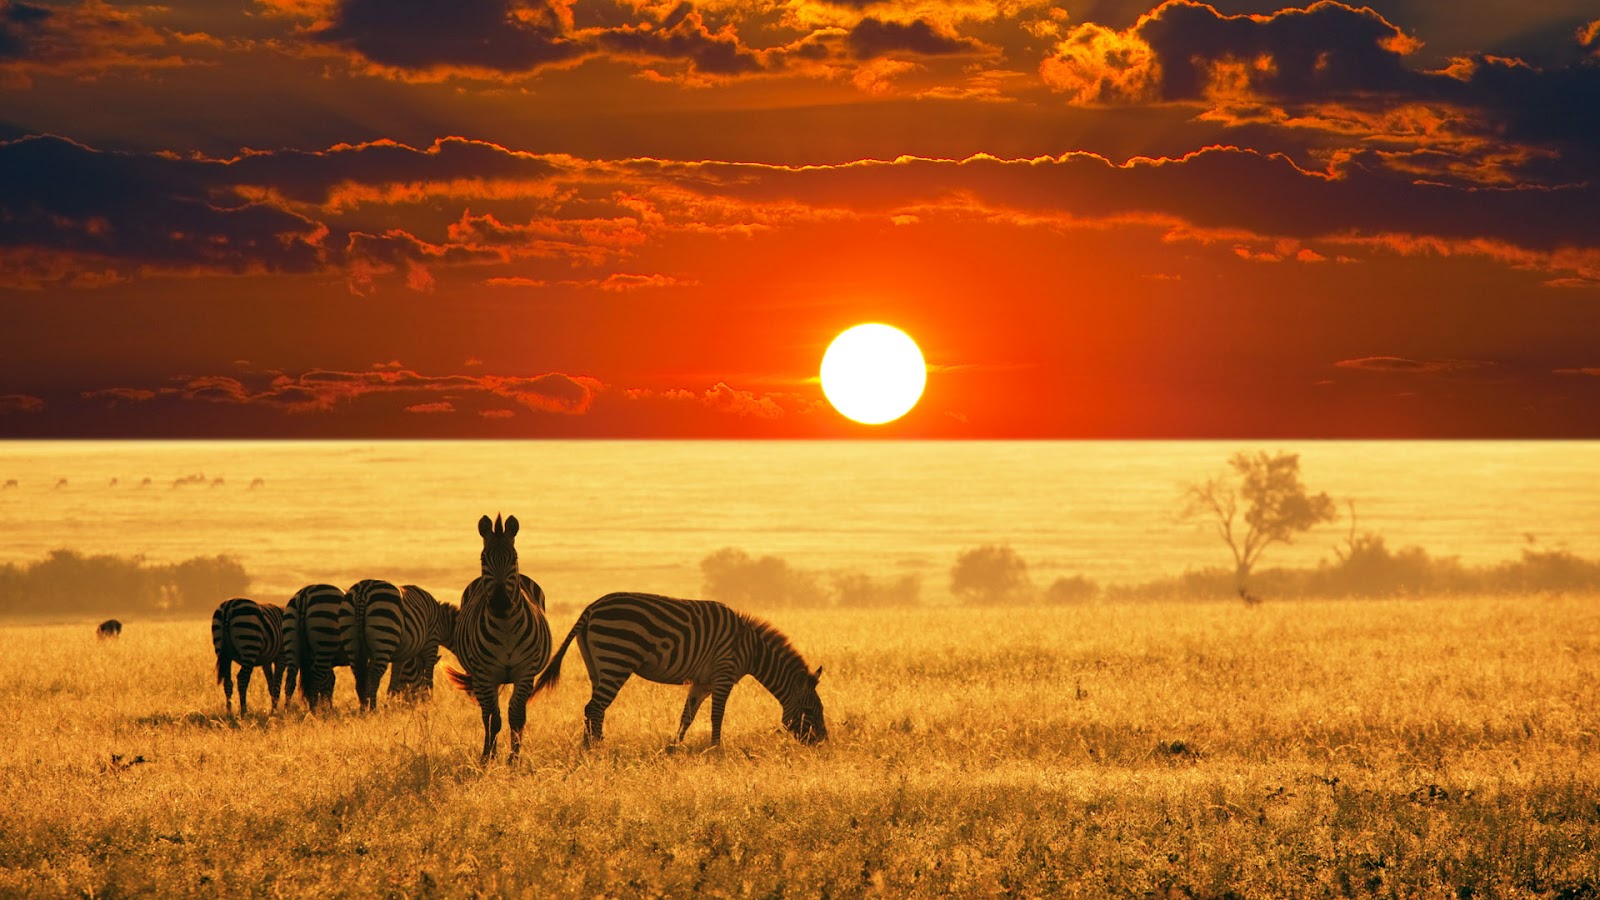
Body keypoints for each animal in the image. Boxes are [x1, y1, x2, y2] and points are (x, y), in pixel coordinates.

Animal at [339, 576, 403, 711]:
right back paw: (373, 708)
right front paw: (387, 705)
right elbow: (394, 677)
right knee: (374, 676)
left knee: (359, 675)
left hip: (350, 636)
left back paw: (363, 707)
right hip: (384, 633)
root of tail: (363, 590)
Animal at [448, 515, 553, 759]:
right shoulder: (486, 674)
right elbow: (494, 719)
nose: (499, 603)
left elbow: (516, 717)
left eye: (514, 558)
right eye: (483, 558)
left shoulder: (525, 672)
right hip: (481, 677)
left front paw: (514, 759)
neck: (506, 627)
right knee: (486, 714)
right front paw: (490, 757)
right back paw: (487, 751)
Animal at [534, 592, 832, 746]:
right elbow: (717, 716)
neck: (751, 649)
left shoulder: (703, 682)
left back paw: (591, 748)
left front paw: (673, 748)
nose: (823, 744)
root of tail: (592, 607)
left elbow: (687, 716)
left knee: (594, 709)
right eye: (811, 710)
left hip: (596, 665)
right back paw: (596, 750)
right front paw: (716, 750)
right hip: (617, 657)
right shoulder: (723, 674)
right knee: (594, 708)